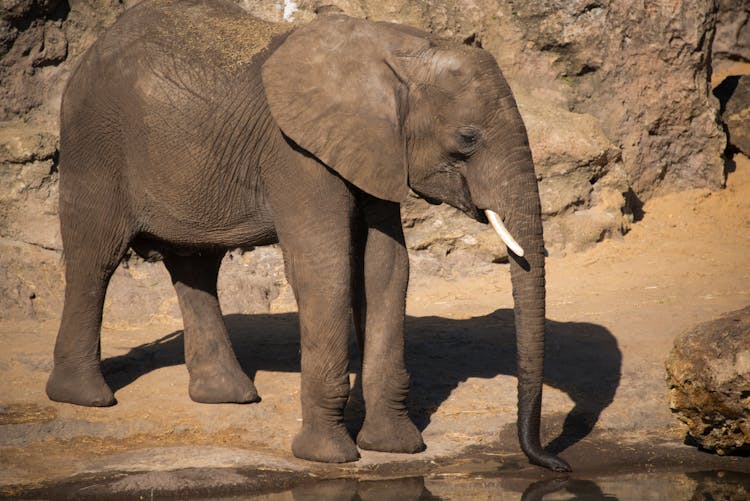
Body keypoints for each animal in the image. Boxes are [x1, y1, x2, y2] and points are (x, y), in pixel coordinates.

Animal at [47, 0, 572, 470]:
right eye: (468, 138)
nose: (554, 463)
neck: (395, 50)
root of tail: (92, 51)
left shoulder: (373, 148)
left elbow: (385, 267)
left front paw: (397, 448)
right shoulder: (296, 151)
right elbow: (325, 265)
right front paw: (330, 457)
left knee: (196, 263)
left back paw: (229, 397)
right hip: (94, 140)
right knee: (96, 256)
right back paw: (86, 398)